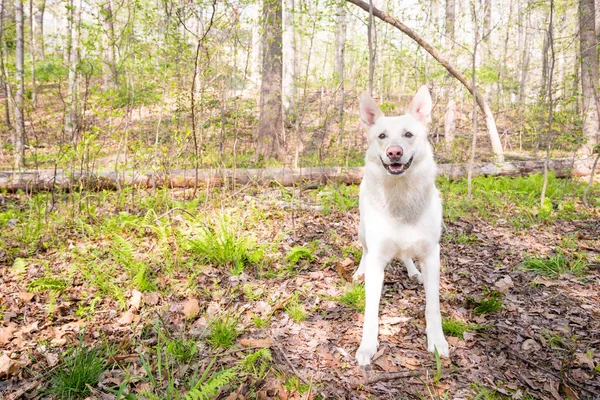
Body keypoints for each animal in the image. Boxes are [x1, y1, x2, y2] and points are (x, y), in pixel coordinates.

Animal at [354, 86, 448, 366]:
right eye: (382, 136)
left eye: (408, 134)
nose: (394, 152)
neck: (401, 196)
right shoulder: (377, 259)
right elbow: (371, 310)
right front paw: (367, 345)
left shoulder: (432, 255)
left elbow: (433, 306)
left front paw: (437, 341)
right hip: (363, 231)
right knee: (364, 251)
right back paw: (359, 271)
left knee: (406, 255)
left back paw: (413, 271)